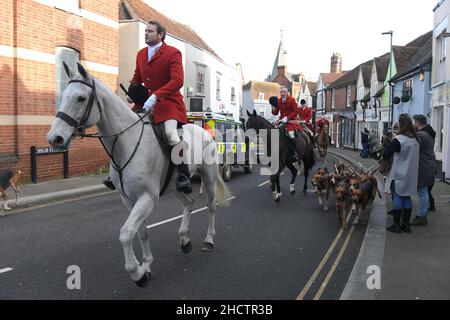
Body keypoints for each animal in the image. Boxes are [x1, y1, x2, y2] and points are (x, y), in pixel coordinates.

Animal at [48, 61, 232, 286]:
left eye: (80, 98)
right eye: (63, 95)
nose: (54, 138)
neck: (126, 142)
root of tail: (204, 131)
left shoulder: (147, 198)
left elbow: (126, 233)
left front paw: (137, 272)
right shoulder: (129, 199)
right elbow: (141, 232)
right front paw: (147, 265)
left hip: (209, 177)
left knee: (211, 207)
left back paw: (208, 240)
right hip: (175, 186)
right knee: (189, 203)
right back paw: (184, 239)